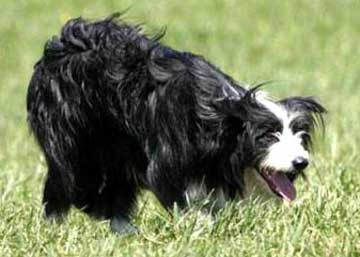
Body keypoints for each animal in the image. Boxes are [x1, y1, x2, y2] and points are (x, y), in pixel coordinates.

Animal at [26, 14, 326, 234]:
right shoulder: (169, 152)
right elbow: (170, 185)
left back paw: (124, 230)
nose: (301, 162)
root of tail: (61, 43)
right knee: (68, 178)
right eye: (268, 136)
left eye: (299, 135)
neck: (220, 123)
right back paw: (55, 225)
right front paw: (199, 224)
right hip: (74, 137)